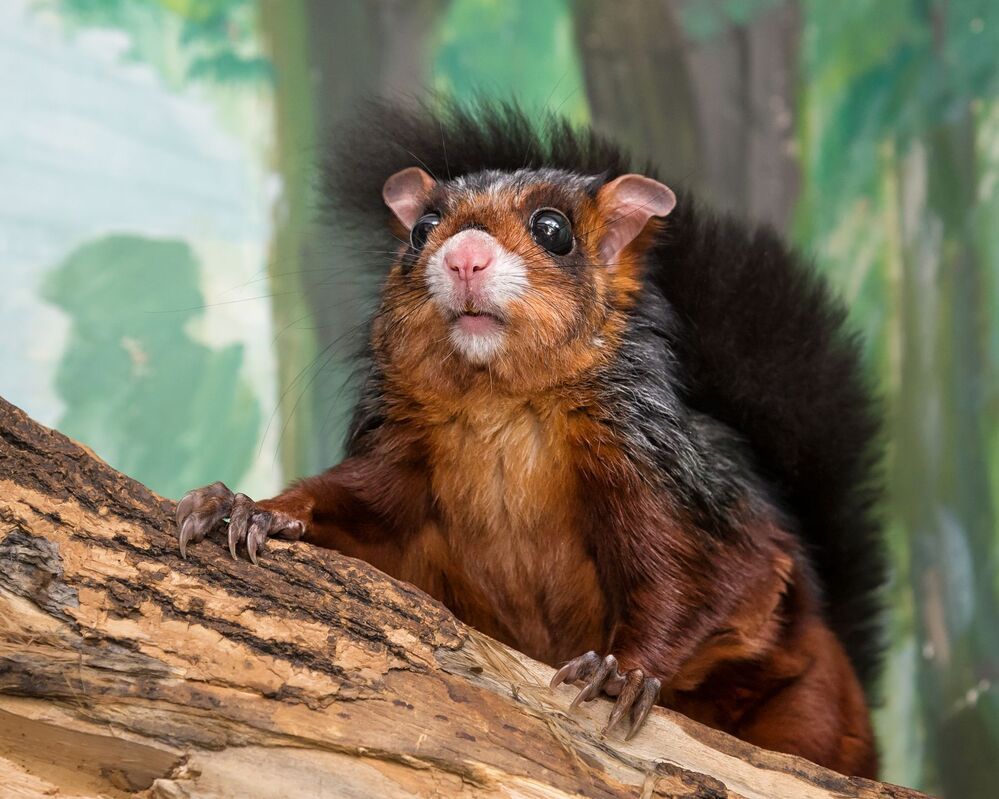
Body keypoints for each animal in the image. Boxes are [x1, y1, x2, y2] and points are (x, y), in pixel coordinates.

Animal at [175, 100, 885, 778]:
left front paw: (622, 670)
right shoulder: (401, 464)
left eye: (554, 230)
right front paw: (250, 508)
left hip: (811, 703)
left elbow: (689, 583)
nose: (463, 256)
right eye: (420, 230)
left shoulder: (661, 477)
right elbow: (351, 508)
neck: (500, 406)